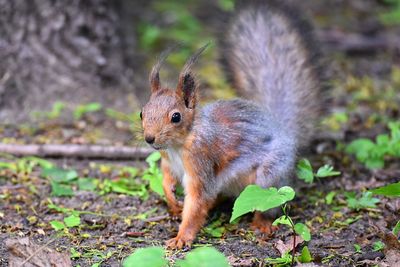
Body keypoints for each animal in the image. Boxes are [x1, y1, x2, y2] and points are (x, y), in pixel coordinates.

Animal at [141, 1, 322, 250]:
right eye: (142, 112)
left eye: (176, 117)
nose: (149, 138)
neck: (180, 144)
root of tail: (283, 130)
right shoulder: (168, 162)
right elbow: (166, 179)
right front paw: (172, 200)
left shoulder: (201, 163)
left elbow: (197, 202)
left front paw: (182, 237)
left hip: (271, 173)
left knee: (269, 201)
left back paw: (262, 223)